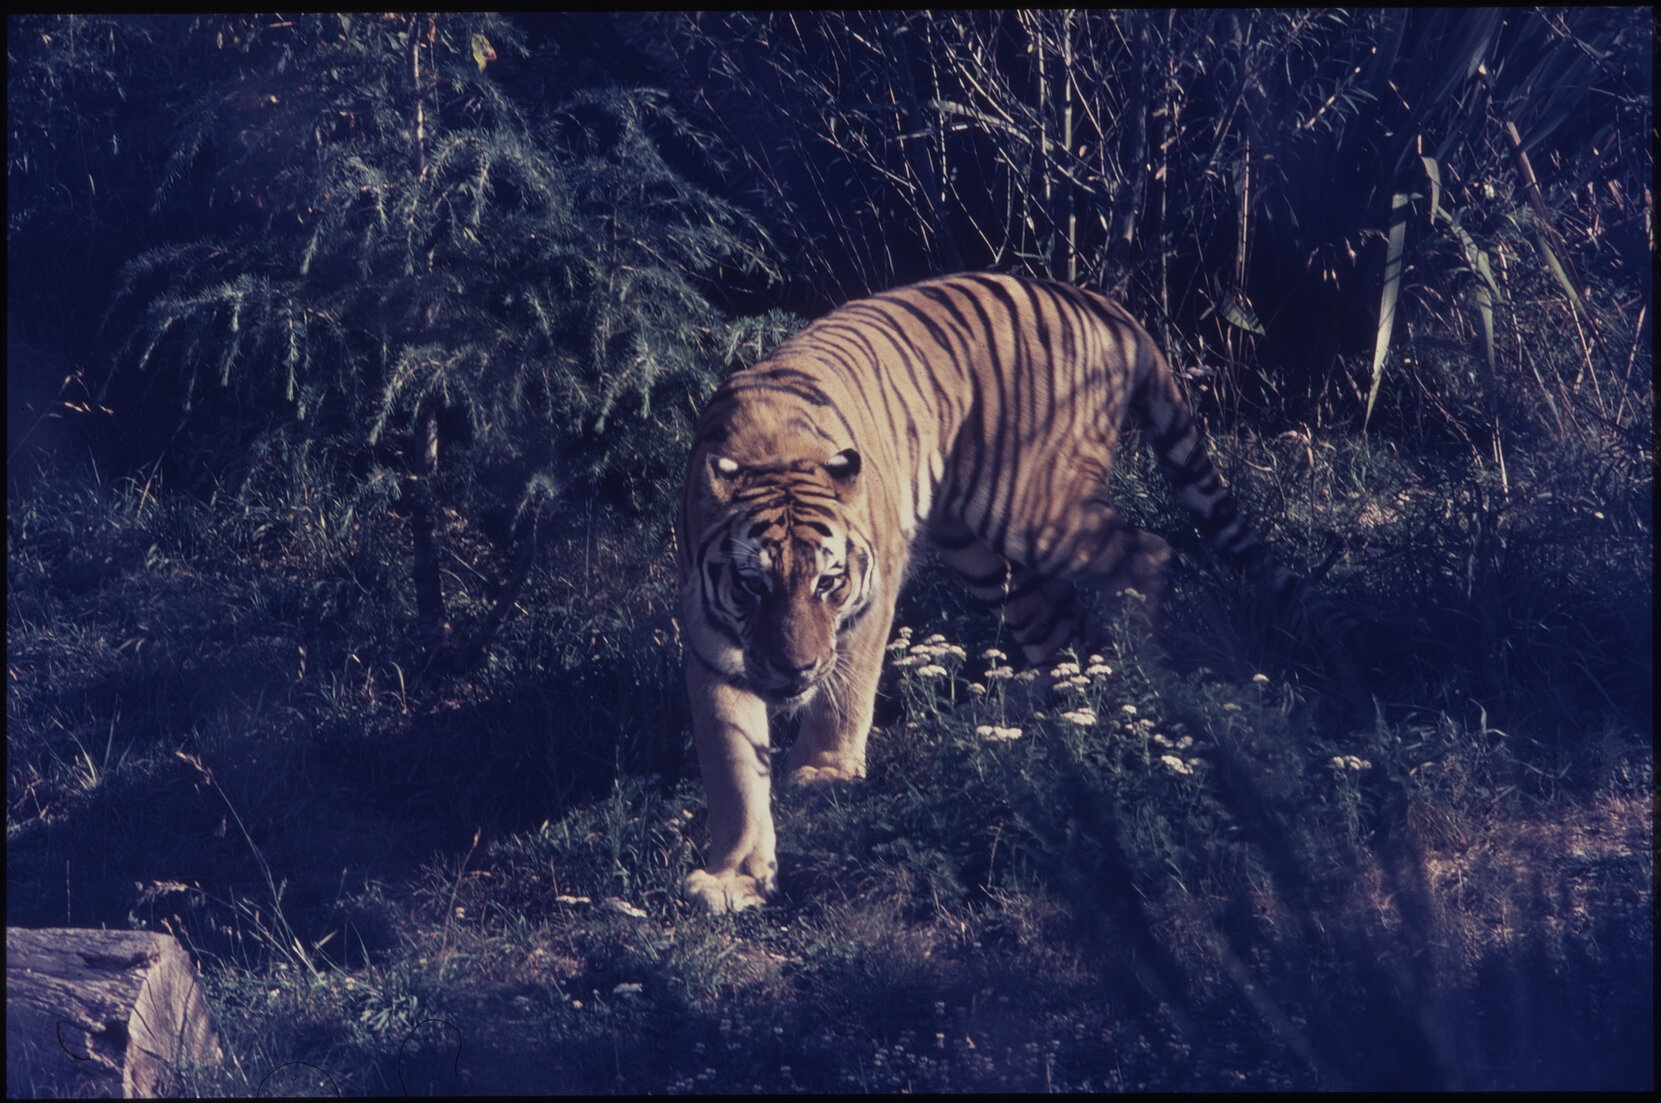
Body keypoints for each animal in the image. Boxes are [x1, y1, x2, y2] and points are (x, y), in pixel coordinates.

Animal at [677, 271, 1314, 913]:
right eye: (752, 586)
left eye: (828, 583)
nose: (795, 670)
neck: (772, 449)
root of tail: (1099, 303)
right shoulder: (713, 644)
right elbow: (733, 768)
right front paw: (734, 878)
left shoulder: (869, 600)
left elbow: (845, 693)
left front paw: (825, 774)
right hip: (981, 553)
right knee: (1065, 626)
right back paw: (1063, 701)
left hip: (1036, 510)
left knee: (1150, 554)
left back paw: (1135, 672)